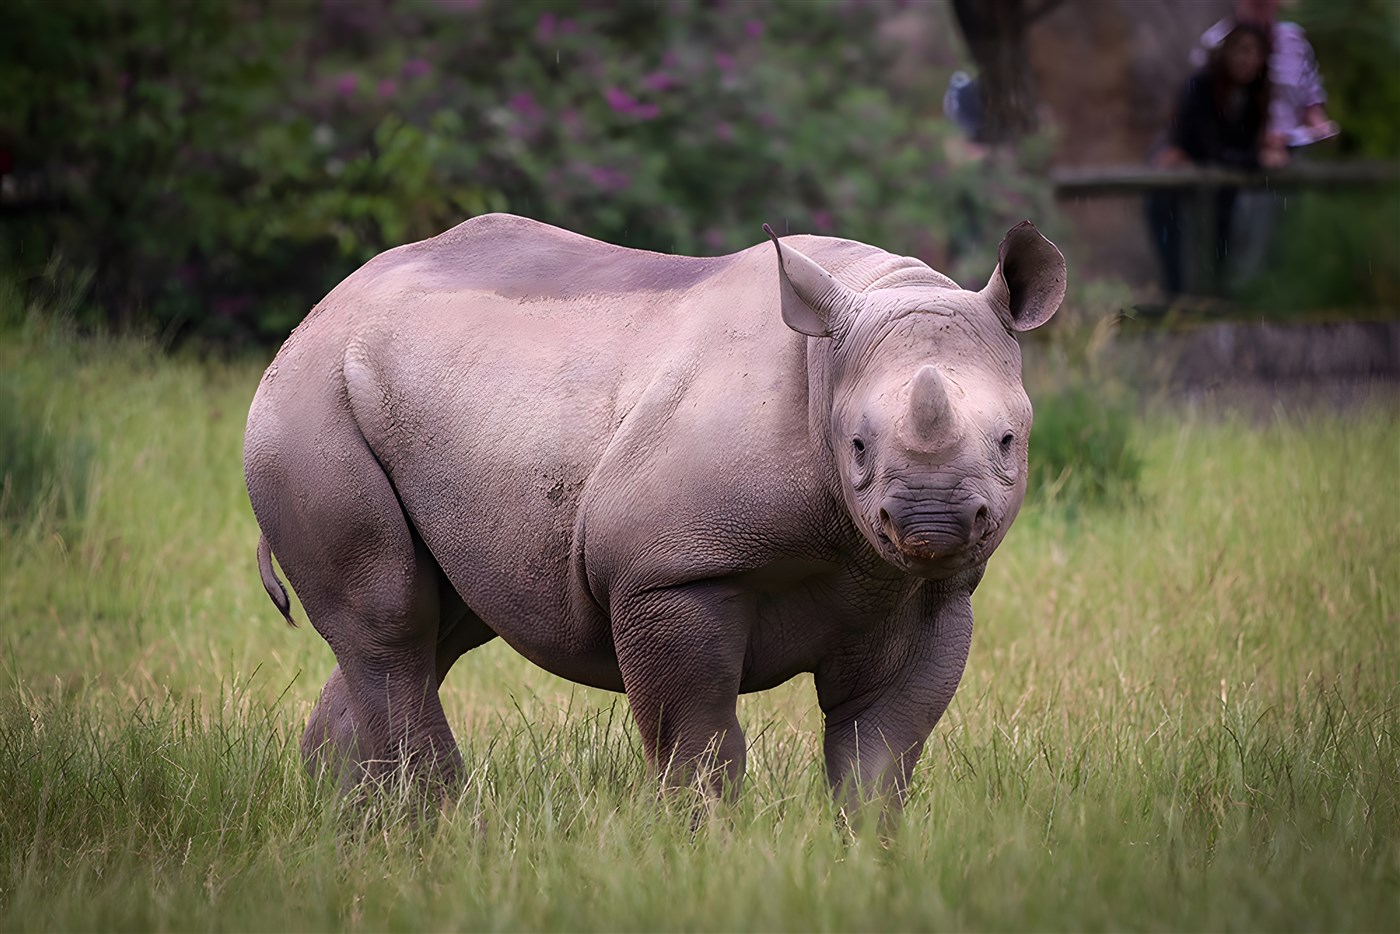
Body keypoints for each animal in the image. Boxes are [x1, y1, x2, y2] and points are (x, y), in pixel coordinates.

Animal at [244, 213, 1066, 812]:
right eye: (857, 446)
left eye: (1009, 441)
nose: (934, 526)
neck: (825, 366)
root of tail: (324, 307)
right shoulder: (669, 572)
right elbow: (698, 740)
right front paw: (706, 845)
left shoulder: (926, 592)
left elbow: (880, 747)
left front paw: (867, 854)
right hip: (308, 402)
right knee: (392, 621)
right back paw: (433, 819)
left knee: (440, 622)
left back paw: (350, 821)